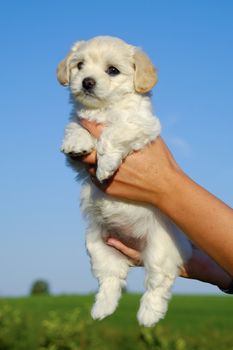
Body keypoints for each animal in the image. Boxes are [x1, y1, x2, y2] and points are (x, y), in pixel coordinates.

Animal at [57, 37, 191, 326]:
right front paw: (76, 141)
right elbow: (75, 126)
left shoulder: (141, 126)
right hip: (97, 244)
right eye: (80, 65)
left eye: (112, 71)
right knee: (111, 279)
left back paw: (148, 316)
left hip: (161, 249)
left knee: (158, 283)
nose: (87, 81)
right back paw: (102, 309)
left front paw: (106, 165)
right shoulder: (78, 141)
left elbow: (113, 133)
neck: (105, 109)